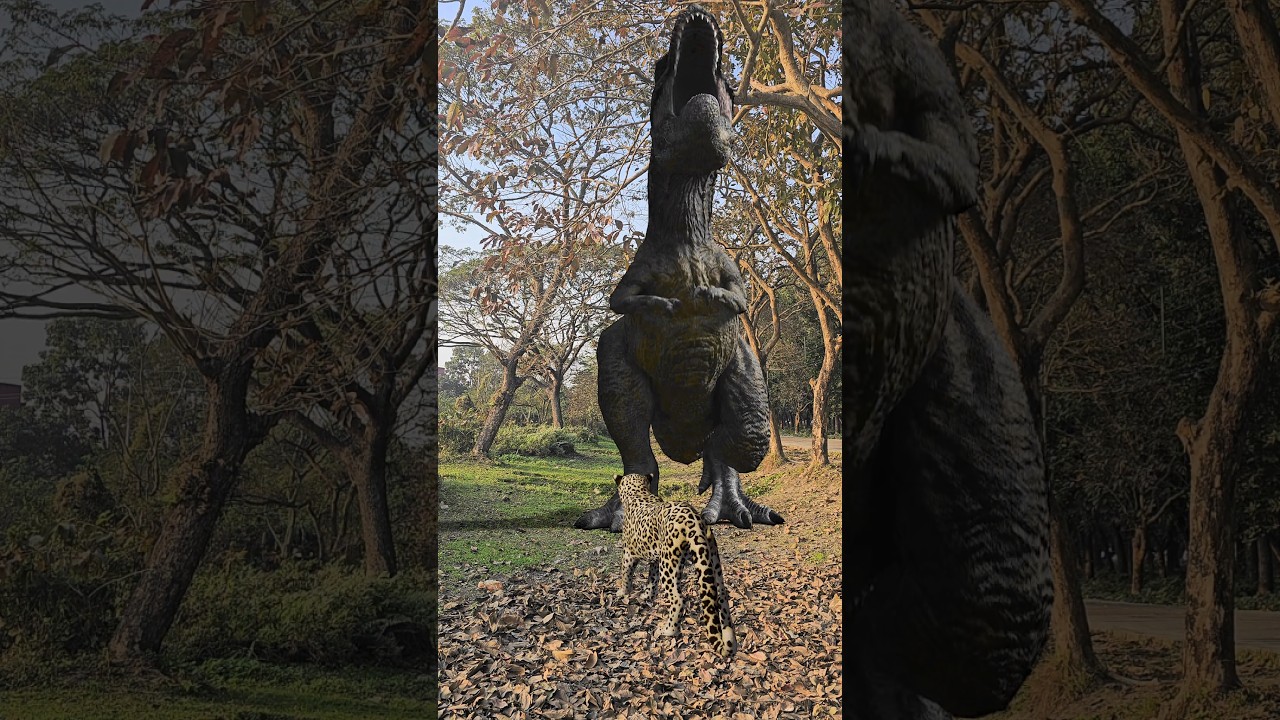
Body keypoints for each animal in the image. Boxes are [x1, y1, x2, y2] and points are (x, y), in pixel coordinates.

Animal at [615, 472, 736, 658]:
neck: (638, 493)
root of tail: (694, 519)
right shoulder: (655, 559)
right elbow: (651, 579)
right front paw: (647, 595)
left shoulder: (629, 552)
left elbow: (626, 573)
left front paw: (623, 591)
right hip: (712, 560)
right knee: (721, 595)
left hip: (669, 563)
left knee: (678, 599)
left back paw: (668, 630)